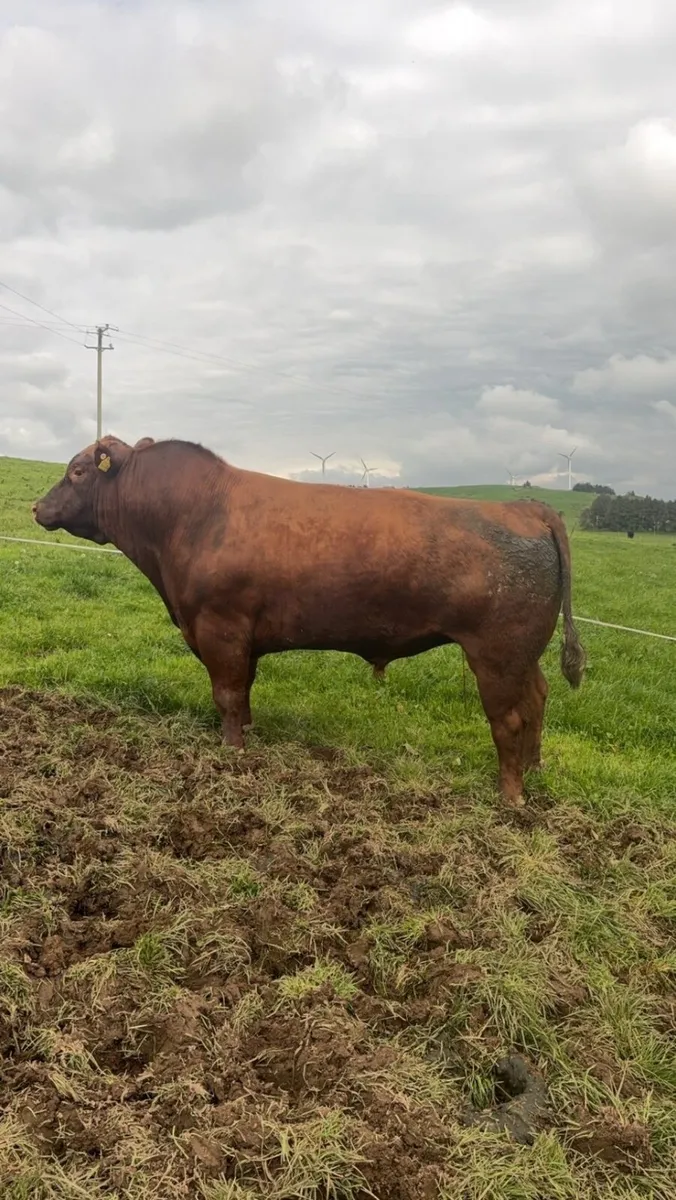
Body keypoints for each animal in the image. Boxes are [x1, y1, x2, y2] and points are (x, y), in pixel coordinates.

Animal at [33, 435, 585, 805]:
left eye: (77, 471)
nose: (38, 506)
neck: (191, 516)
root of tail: (528, 508)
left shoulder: (220, 628)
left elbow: (226, 694)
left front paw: (231, 754)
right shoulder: (244, 638)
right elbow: (244, 692)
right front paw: (247, 735)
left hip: (497, 653)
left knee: (508, 718)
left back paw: (511, 794)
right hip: (524, 653)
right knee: (538, 698)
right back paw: (535, 770)